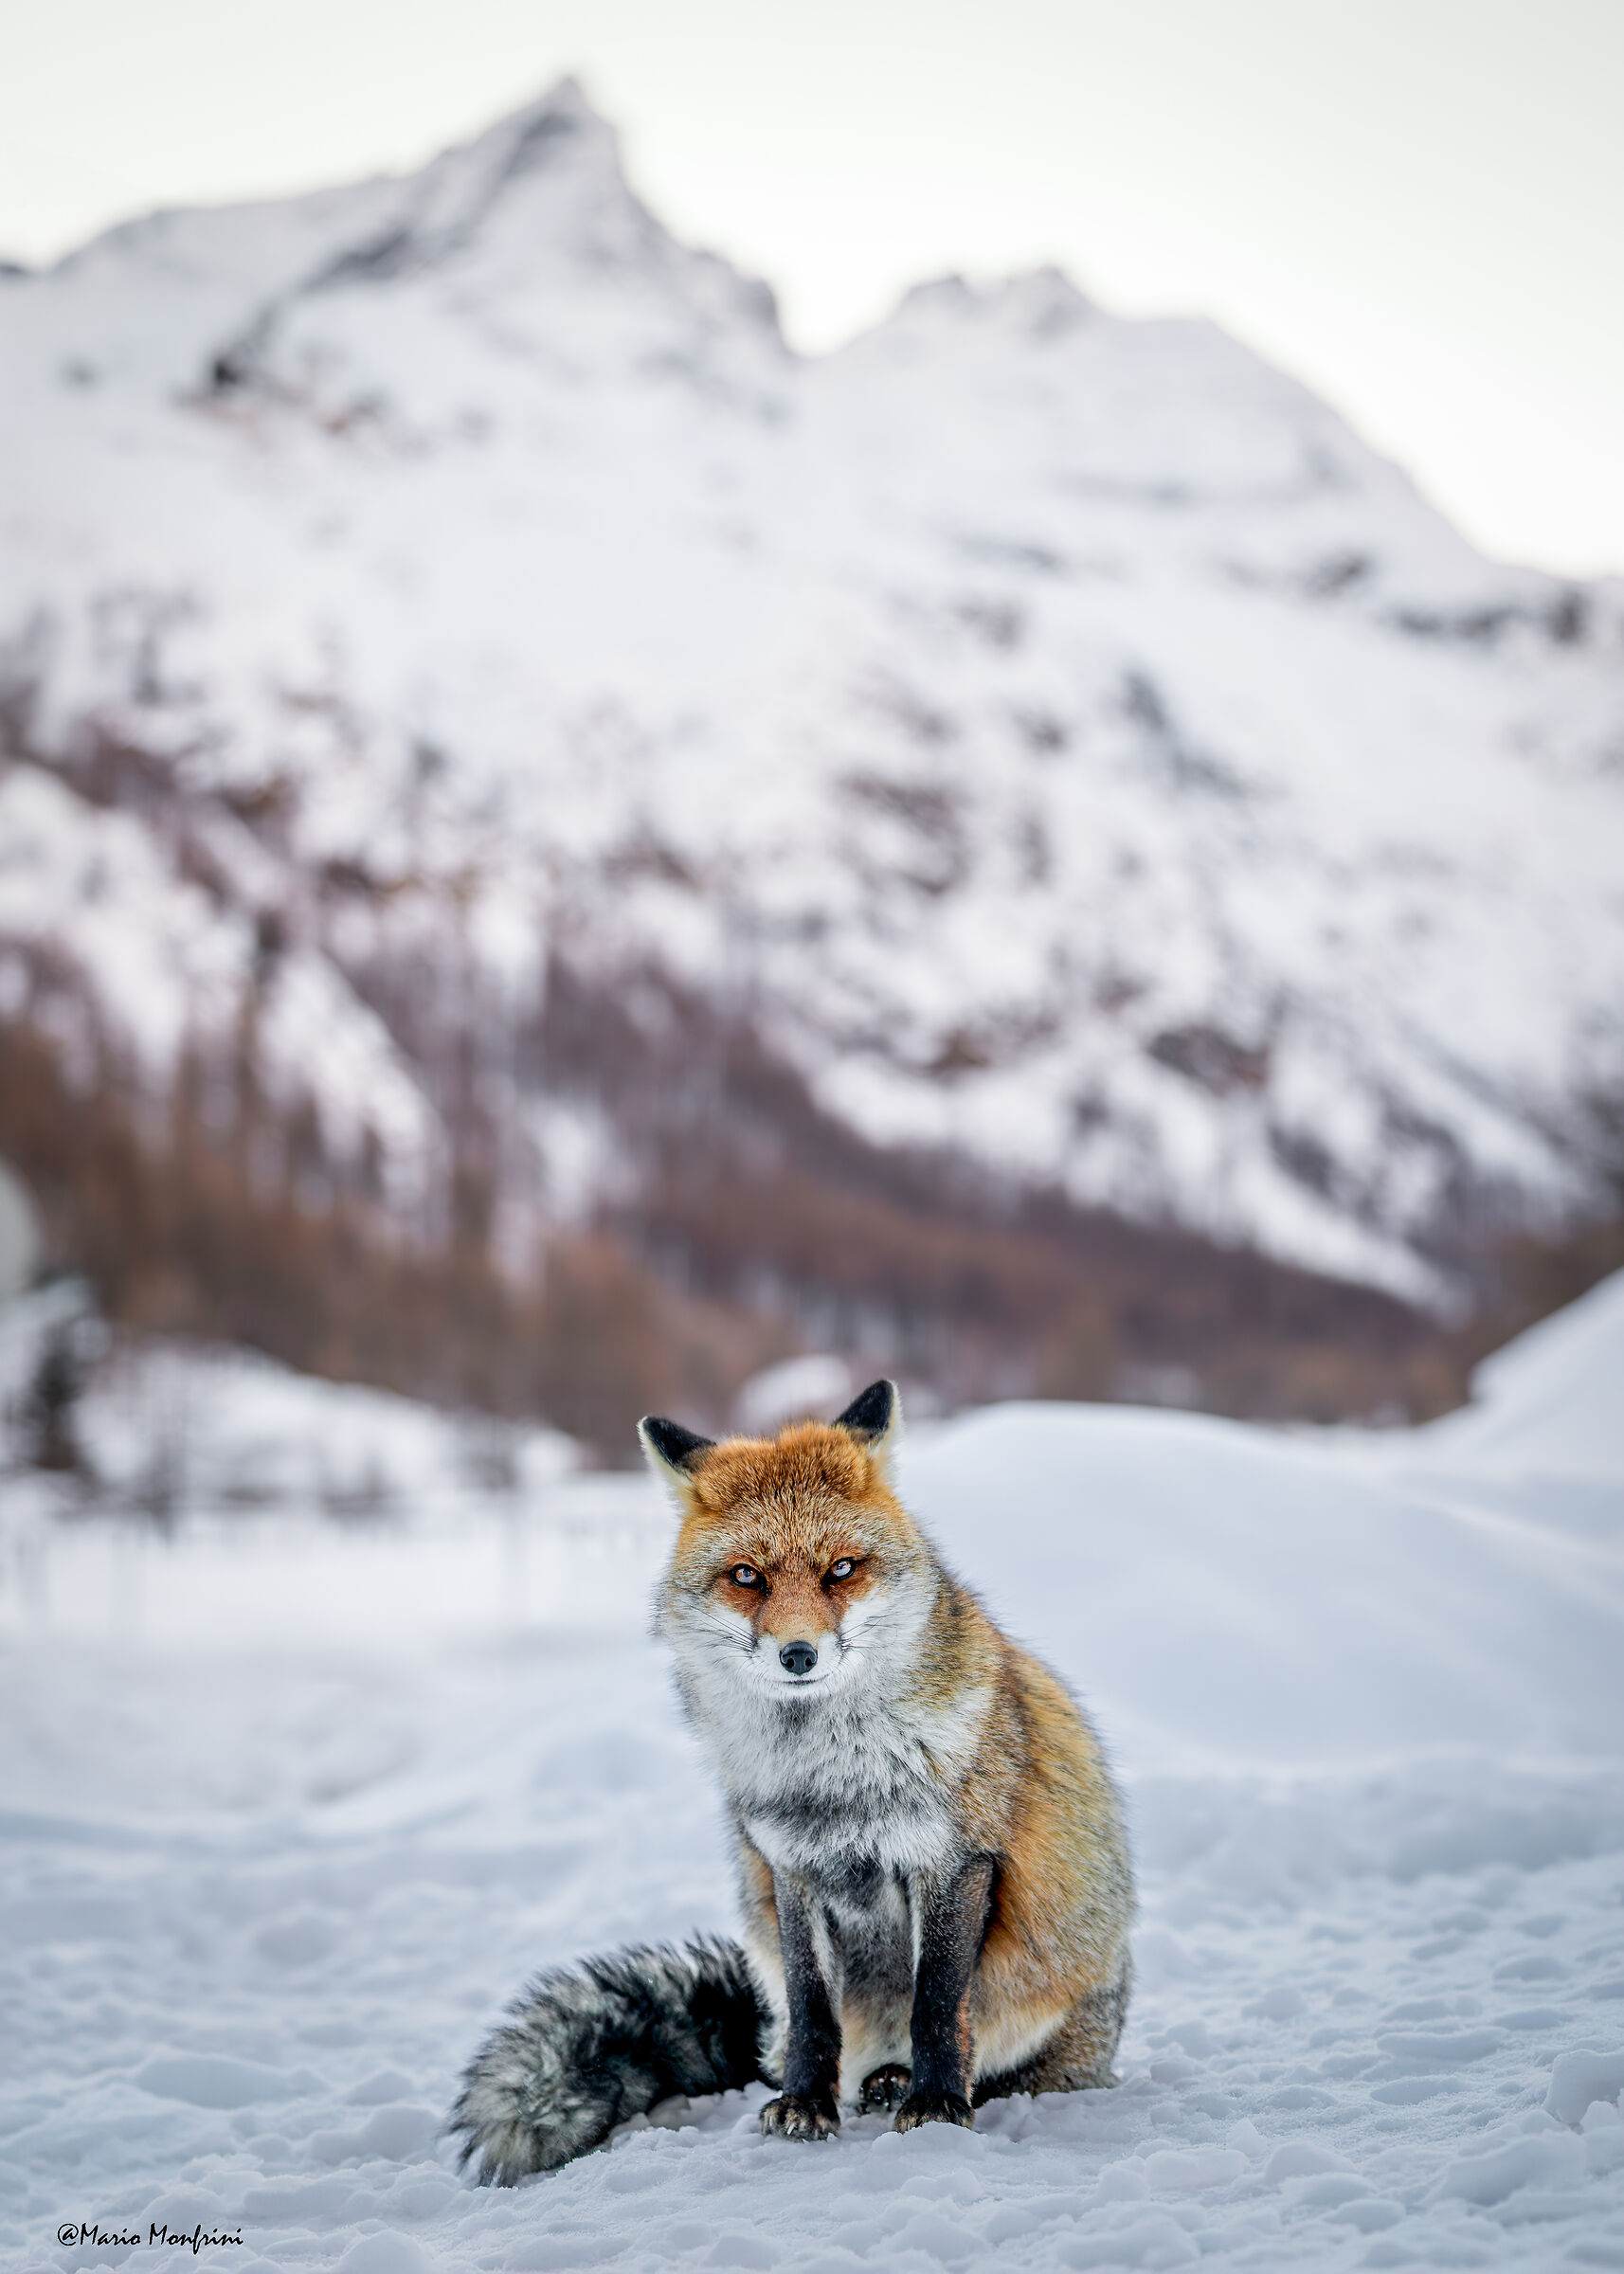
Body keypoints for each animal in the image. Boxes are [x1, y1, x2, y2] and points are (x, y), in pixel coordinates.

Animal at [449, 1379, 1133, 2182]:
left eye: (841, 1569)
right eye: (748, 1575)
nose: (798, 1654)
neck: (833, 1781)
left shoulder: (953, 1860)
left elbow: (937, 2004)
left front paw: (937, 2106)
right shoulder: (791, 1871)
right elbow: (813, 2011)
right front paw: (808, 2103)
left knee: (1001, 2064)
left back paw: (914, 2083)